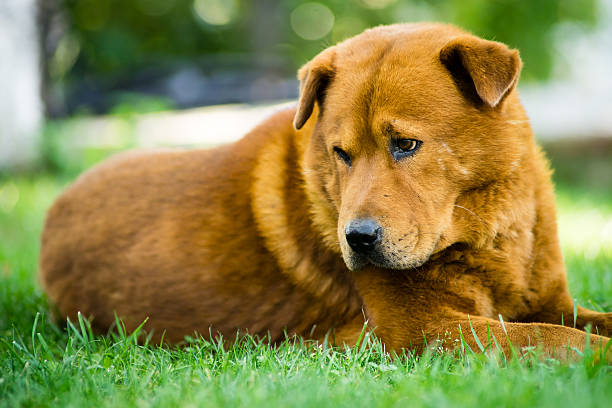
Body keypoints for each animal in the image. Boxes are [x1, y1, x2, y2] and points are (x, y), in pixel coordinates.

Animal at [40, 23, 608, 358]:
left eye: (405, 144)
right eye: (342, 153)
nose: (357, 239)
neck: (491, 232)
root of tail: (55, 209)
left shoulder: (550, 302)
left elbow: (585, 322)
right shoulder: (420, 328)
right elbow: (559, 339)